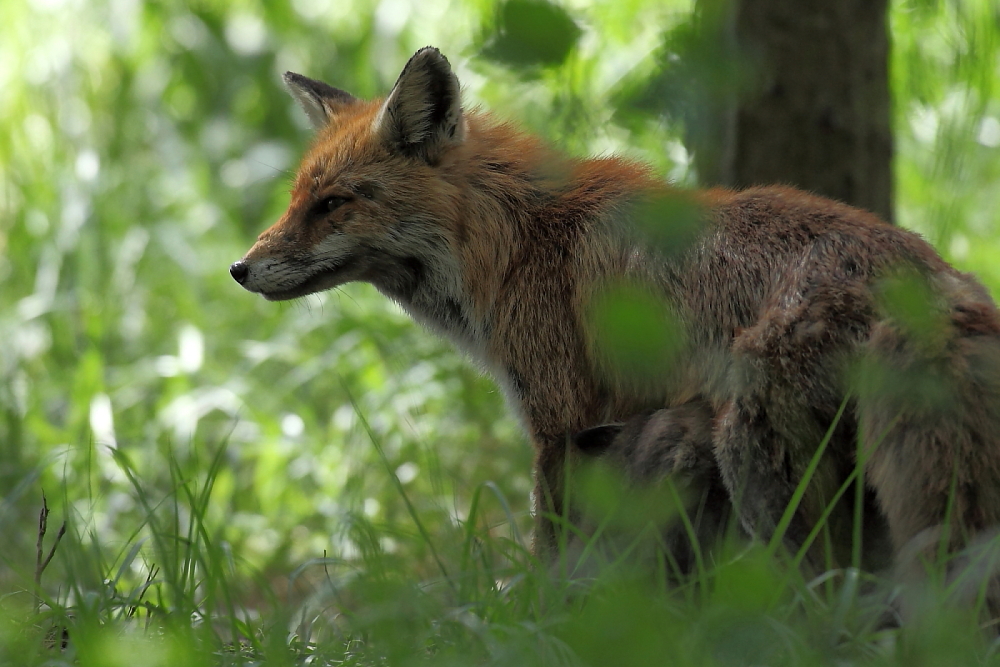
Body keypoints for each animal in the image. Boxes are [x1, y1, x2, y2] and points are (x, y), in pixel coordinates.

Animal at [230, 44, 1000, 572]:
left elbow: (552, 556)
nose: (238, 269)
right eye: (296, 199)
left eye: (332, 204)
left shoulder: (561, 422)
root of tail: (925, 284)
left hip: (758, 470)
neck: (514, 241)